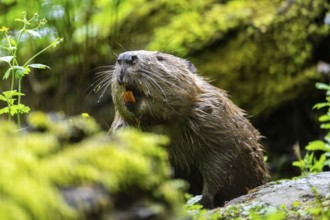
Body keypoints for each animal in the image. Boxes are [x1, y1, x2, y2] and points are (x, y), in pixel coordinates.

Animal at [105, 49, 268, 208]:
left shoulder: (217, 123)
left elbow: (221, 163)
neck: (162, 124)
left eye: (160, 57)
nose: (125, 57)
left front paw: (203, 200)